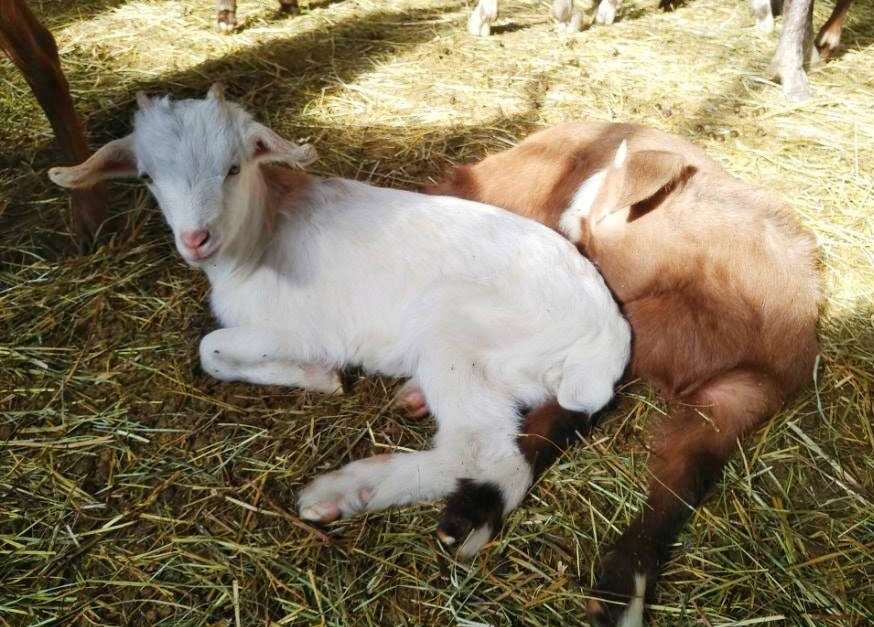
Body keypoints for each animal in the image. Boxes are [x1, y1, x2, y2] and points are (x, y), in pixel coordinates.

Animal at [426, 122, 820, 627]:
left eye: (586, 246)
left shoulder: (736, 399)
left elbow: (683, 481)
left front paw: (621, 592)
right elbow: (557, 420)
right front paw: (475, 511)